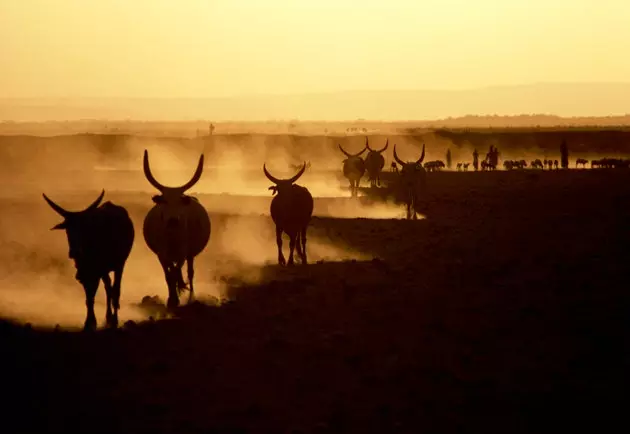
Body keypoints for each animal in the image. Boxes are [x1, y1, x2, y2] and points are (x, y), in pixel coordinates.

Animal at [43, 191, 136, 332]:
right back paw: (108, 317)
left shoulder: (99, 270)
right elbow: (89, 297)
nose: (74, 252)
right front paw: (89, 322)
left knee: (115, 289)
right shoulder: (85, 273)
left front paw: (106, 322)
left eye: (83, 228)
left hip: (119, 264)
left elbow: (105, 291)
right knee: (108, 286)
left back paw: (113, 319)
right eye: (67, 230)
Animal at [143, 149, 212, 308]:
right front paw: (172, 299)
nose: (173, 220)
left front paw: (176, 299)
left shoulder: (183, 254)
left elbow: (176, 273)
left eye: (180, 201)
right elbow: (168, 275)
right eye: (164, 201)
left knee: (190, 273)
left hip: (190, 255)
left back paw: (191, 296)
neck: (172, 237)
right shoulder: (161, 254)